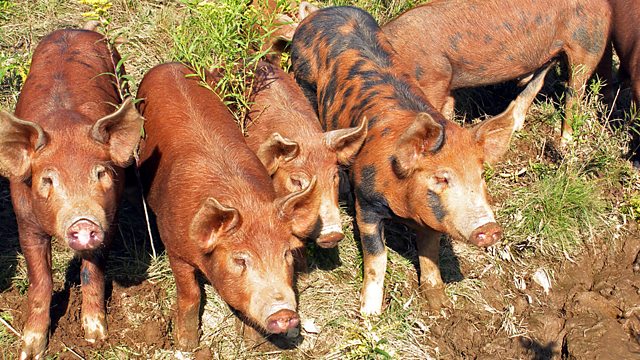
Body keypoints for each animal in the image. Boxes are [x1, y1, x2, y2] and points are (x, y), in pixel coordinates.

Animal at [0, 29, 142, 358]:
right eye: (47, 180)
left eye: (101, 173)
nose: (83, 221)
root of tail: (73, 29)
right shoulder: (25, 222)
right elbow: (40, 280)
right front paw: (30, 350)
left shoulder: (108, 219)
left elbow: (93, 271)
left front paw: (95, 338)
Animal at [139, 62, 320, 348]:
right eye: (240, 259)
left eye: (287, 253)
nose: (283, 314)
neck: (243, 201)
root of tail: (168, 65)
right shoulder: (173, 246)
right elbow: (190, 294)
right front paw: (186, 345)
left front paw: (251, 343)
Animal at [292, 5, 548, 316]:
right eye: (441, 177)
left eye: (480, 177)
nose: (489, 228)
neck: (404, 208)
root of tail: (322, 12)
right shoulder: (366, 205)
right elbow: (378, 258)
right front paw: (369, 314)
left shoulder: (432, 216)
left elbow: (429, 254)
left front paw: (440, 306)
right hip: (303, 79)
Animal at [382, 0, 612, 143]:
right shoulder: (445, 83)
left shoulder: (434, 79)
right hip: (551, 53)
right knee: (538, 80)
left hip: (588, 42)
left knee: (575, 89)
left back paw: (565, 142)